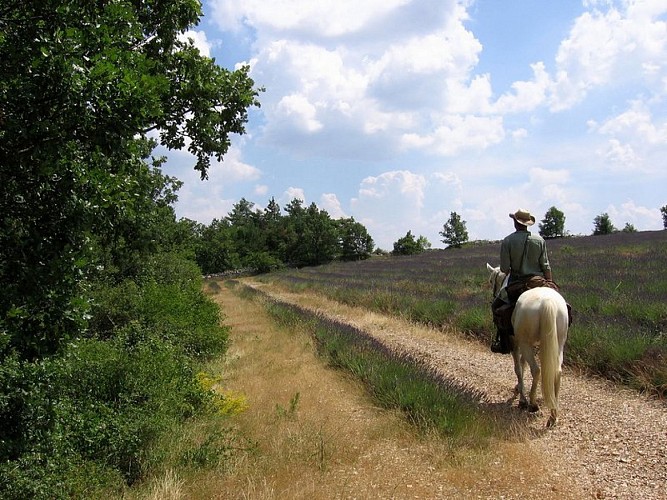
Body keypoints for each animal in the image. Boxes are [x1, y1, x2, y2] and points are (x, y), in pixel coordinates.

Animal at [486, 264, 568, 428]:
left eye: (491, 280)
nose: (494, 294)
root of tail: (547, 301)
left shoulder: (515, 344)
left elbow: (518, 368)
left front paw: (521, 398)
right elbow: (523, 364)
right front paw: (519, 387)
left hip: (525, 344)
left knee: (536, 370)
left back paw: (532, 404)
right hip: (558, 343)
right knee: (557, 372)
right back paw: (553, 415)